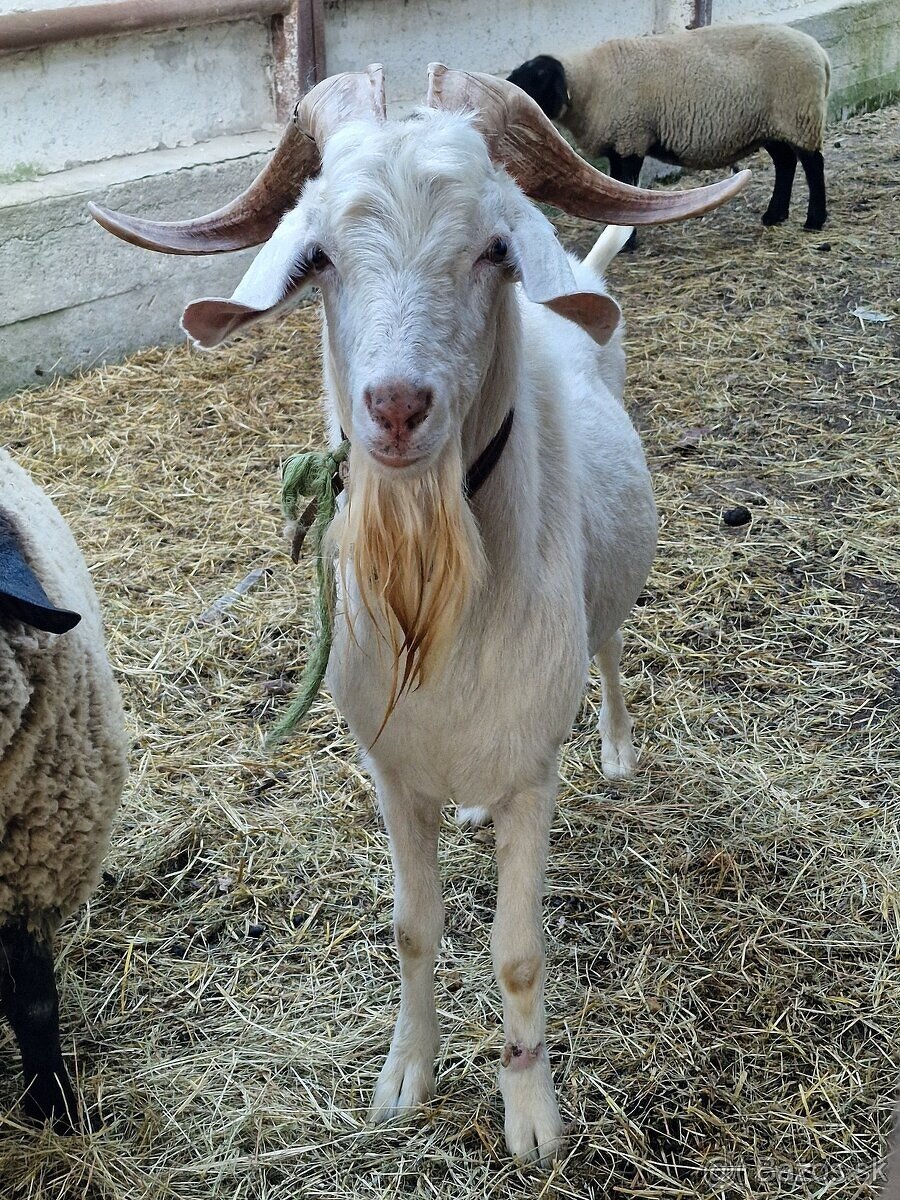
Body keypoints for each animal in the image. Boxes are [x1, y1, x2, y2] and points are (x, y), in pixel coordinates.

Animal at [91, 63, 748, 1161]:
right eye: (317, 255)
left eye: (492, 248)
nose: (396, 408)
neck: (438, 608)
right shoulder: (391, 772)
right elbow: (412, 927)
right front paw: (405, 1078)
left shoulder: (532, 775)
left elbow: (519, 953)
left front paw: (532, 1118)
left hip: (611, 602)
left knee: (613, 650)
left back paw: (618, 749)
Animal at [511, 24, 835, 231]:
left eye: (537, 79)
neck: (590, 83)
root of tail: (821, 54)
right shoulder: (620, 141)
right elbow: (617, 185)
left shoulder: (632, 136)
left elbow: (627, 184)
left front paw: (625, 239)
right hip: (772, 124)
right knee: (786, 163)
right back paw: (775, 215)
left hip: (800, 116)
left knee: (813, 165)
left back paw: (814, 220)